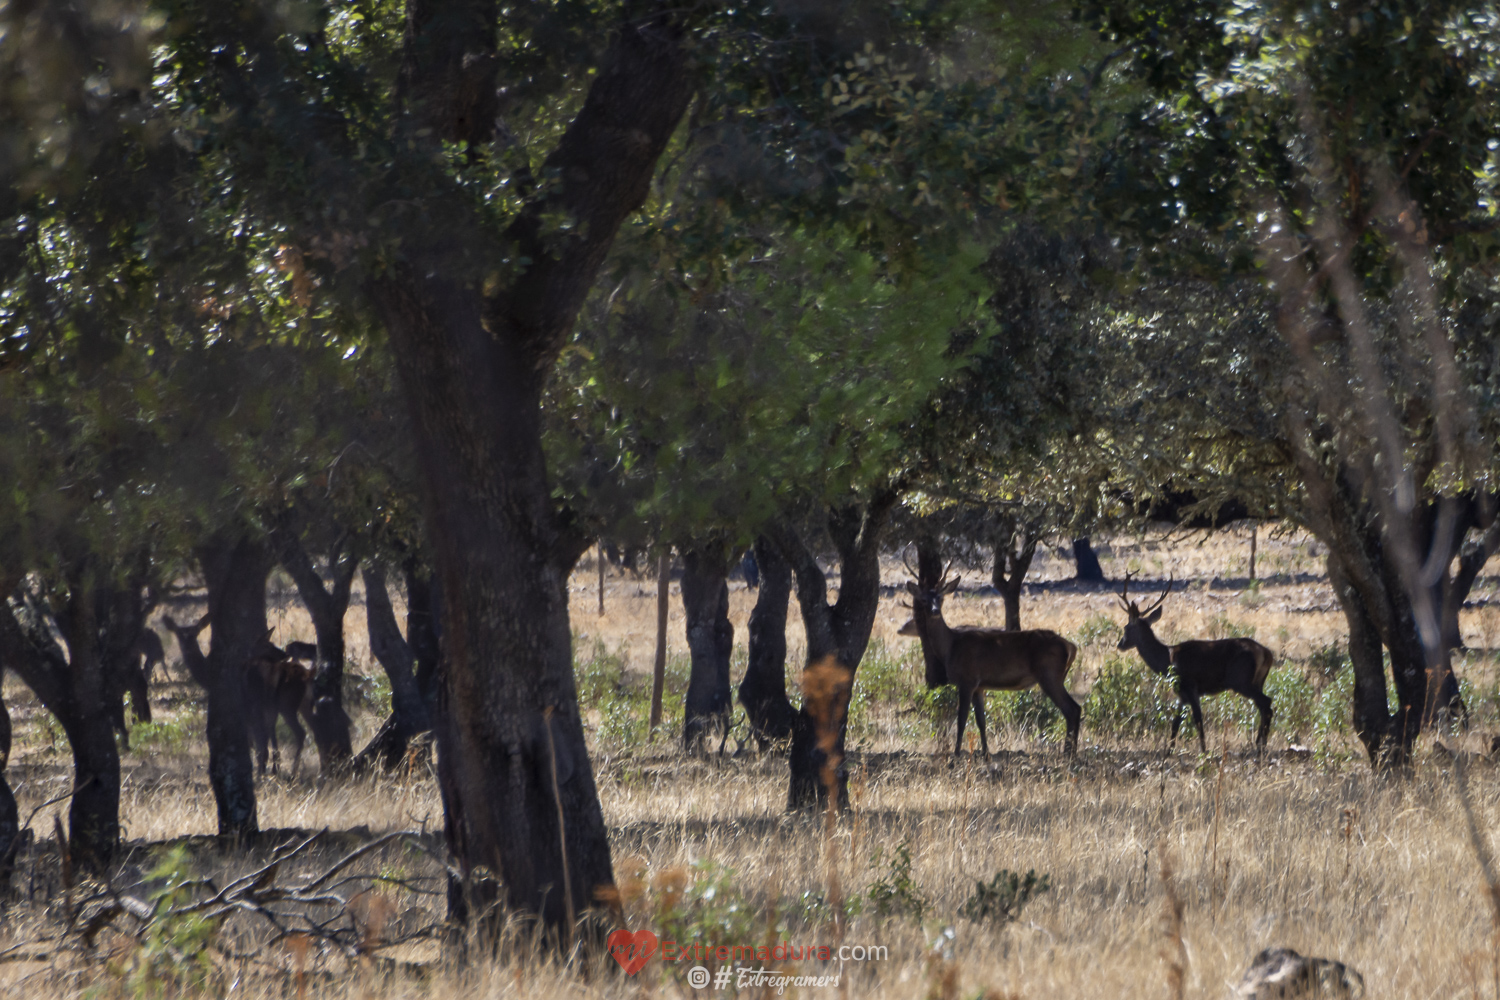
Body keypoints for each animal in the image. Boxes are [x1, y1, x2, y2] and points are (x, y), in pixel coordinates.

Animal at [894, 563, 1086, 758]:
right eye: (924, 599)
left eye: (940, 598)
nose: (934, 611)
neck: (950, 647)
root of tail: (1070, 646)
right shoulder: (979, 686)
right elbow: (981, 721)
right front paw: (985, 754)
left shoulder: (967, 680)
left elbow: (961, 719)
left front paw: (956, 755)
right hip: (1055, 676)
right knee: (1074, 709)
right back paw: (1070, 752)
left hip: (1049, 675)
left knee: (1072, 709)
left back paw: (1069, 753)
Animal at [1122, 569, 1272, 749]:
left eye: (1126, 628)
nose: (1120, 644)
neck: (1167, 660)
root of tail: (1266, 653)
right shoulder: (1182, 695)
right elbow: (1175, 724)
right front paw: (1169, 751)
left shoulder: (1190, 686)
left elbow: (1198, 719)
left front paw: (1204, 750)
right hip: (1258, 681)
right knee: (1263, 707)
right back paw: (1259, 743)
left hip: (1240, 680)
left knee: (1267, 703)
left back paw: (1260, 744)